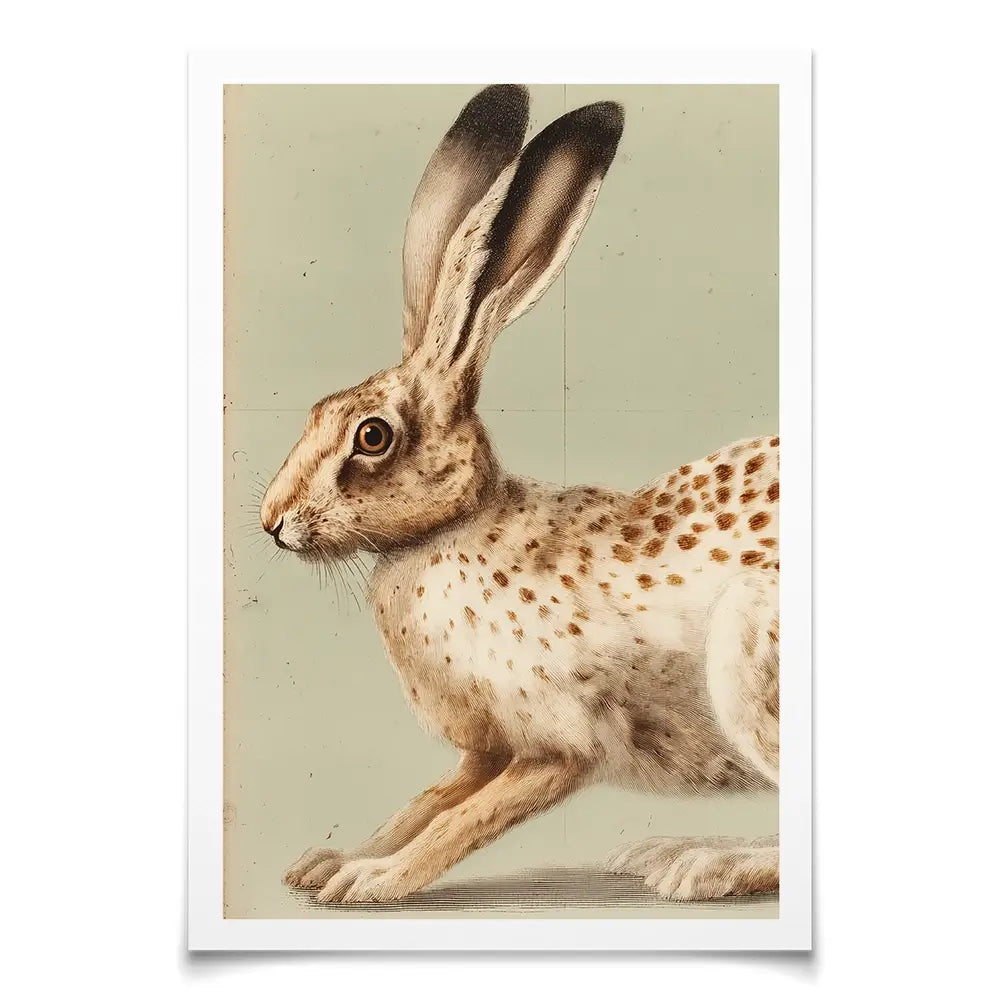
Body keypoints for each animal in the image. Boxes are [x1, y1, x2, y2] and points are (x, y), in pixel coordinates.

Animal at [261, 84, 779, 905]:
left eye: (372, 437)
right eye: (316, 411)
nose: (270, 521)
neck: (452, 533)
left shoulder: (557, 746)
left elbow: (459, 822)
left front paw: (373, 882)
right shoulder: (485, 751)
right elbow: (428, 803)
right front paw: (331, 863)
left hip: (750, 662)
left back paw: (699, 864)